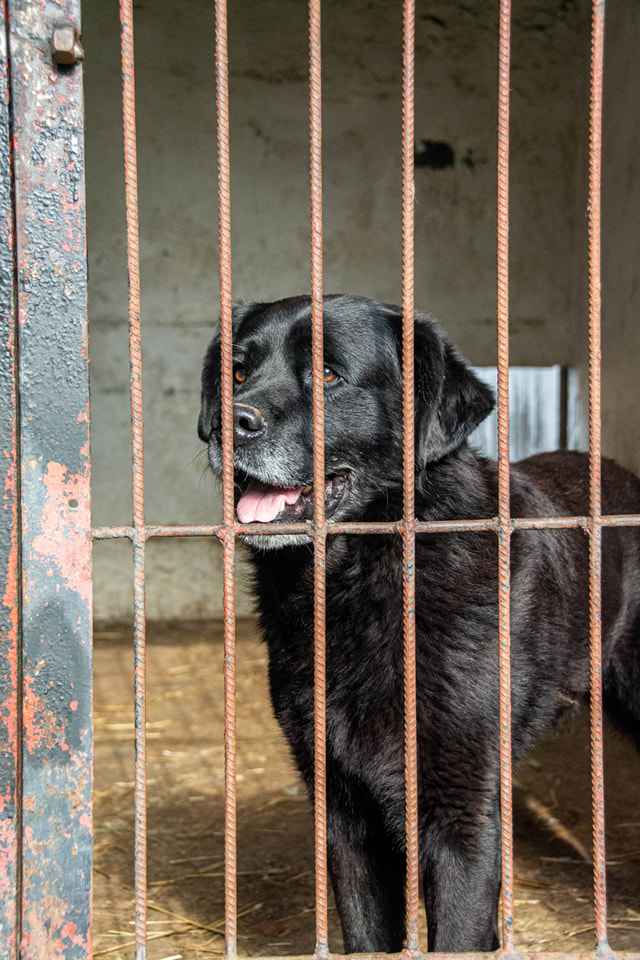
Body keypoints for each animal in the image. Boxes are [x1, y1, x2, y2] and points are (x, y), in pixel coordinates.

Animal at [199, 296, 640, 956]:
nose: (233, 423)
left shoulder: (463, 809)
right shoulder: (343, 809)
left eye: (327, 374)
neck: (361, 580)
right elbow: (367, 931)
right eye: (238, 372)